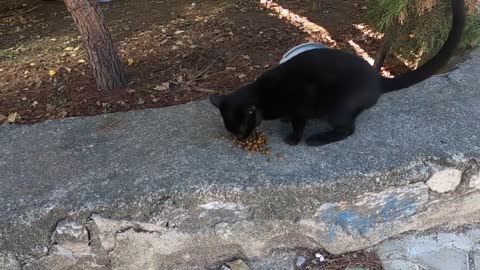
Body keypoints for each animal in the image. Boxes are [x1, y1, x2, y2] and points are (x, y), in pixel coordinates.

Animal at [210, 0, 464, 146]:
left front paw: (293, 139)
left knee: (348, 129)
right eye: (234, 132)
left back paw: (317, 139)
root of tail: (377, 79)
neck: (263, 95)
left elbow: (299, 123)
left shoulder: (301, 102)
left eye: (241, 129)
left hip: (334, 108)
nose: (241, 138)